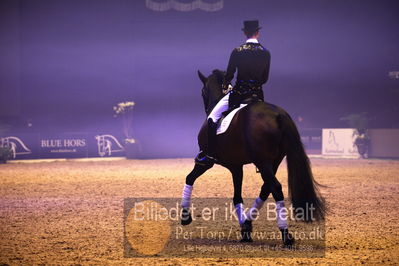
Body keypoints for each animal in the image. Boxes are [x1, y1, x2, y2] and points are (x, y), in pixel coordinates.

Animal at [180, 69, 324, 245]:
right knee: (266, 188)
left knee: (275, 188)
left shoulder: (207, 162)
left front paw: (185, 217)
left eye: (202, 91)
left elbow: (189, 178)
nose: (207, 107)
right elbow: (237, 197)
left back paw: (285, 234)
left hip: (263, 162)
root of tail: (279, 114)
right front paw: (245, 230)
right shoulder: (236, 166)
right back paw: (250, 223)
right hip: (273, 162)